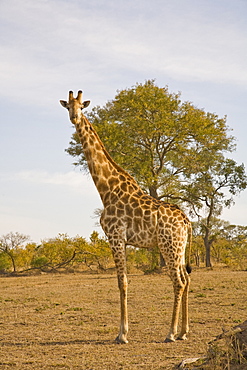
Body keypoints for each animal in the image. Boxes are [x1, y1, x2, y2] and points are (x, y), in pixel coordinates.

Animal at [59, 89, 191, 344]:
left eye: (82, 106)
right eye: (68, 106)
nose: (74, 118)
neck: (106, 190)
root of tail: (187, 222)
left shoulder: (115, 236)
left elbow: (122, 282)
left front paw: (122, 334)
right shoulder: (123, 240)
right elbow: (124, 281)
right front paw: (123, 331)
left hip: (169, 246)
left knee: (179, 282)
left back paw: (170, 333)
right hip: (178, 248)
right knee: (187, 279)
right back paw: (183, 331)